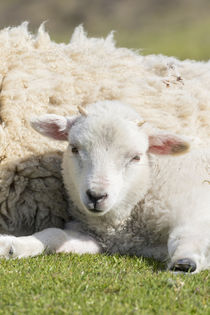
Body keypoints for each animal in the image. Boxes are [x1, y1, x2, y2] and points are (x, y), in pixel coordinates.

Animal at [0, 101, 209, 274]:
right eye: (74, 148)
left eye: (136, 157)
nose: (96, 196)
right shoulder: (96, 238)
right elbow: (54, 234)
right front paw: (12, 246)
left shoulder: (193, 205)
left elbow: (186, 234)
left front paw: (185, 262)